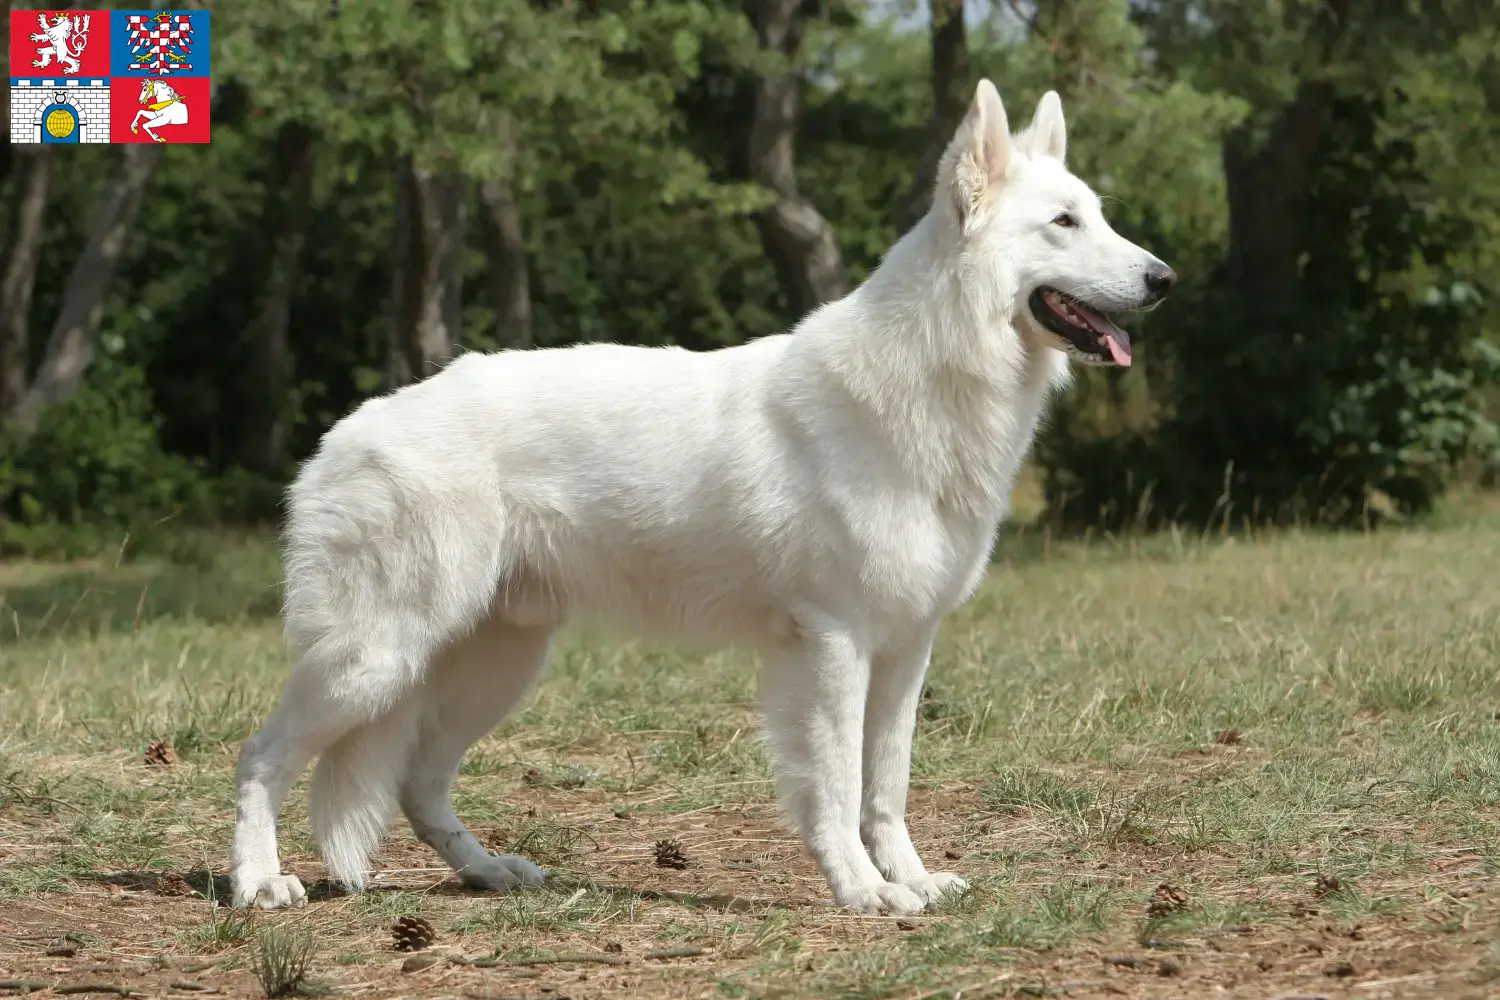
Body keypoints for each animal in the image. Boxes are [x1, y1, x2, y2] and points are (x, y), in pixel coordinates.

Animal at [231, 83, 1170, 917]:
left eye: (1098, 215)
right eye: (1064, 222)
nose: (1166, 278)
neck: (933, 380)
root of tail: (342, 435)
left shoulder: (907, 650)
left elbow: (887, 788)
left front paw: (909, 881)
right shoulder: (834, 646)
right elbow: (837, 788)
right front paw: (863, 892)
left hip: (492, 666)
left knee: (419, 784)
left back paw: (488, 872)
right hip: (377, 661)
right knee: (261, 756)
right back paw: (258, 883)